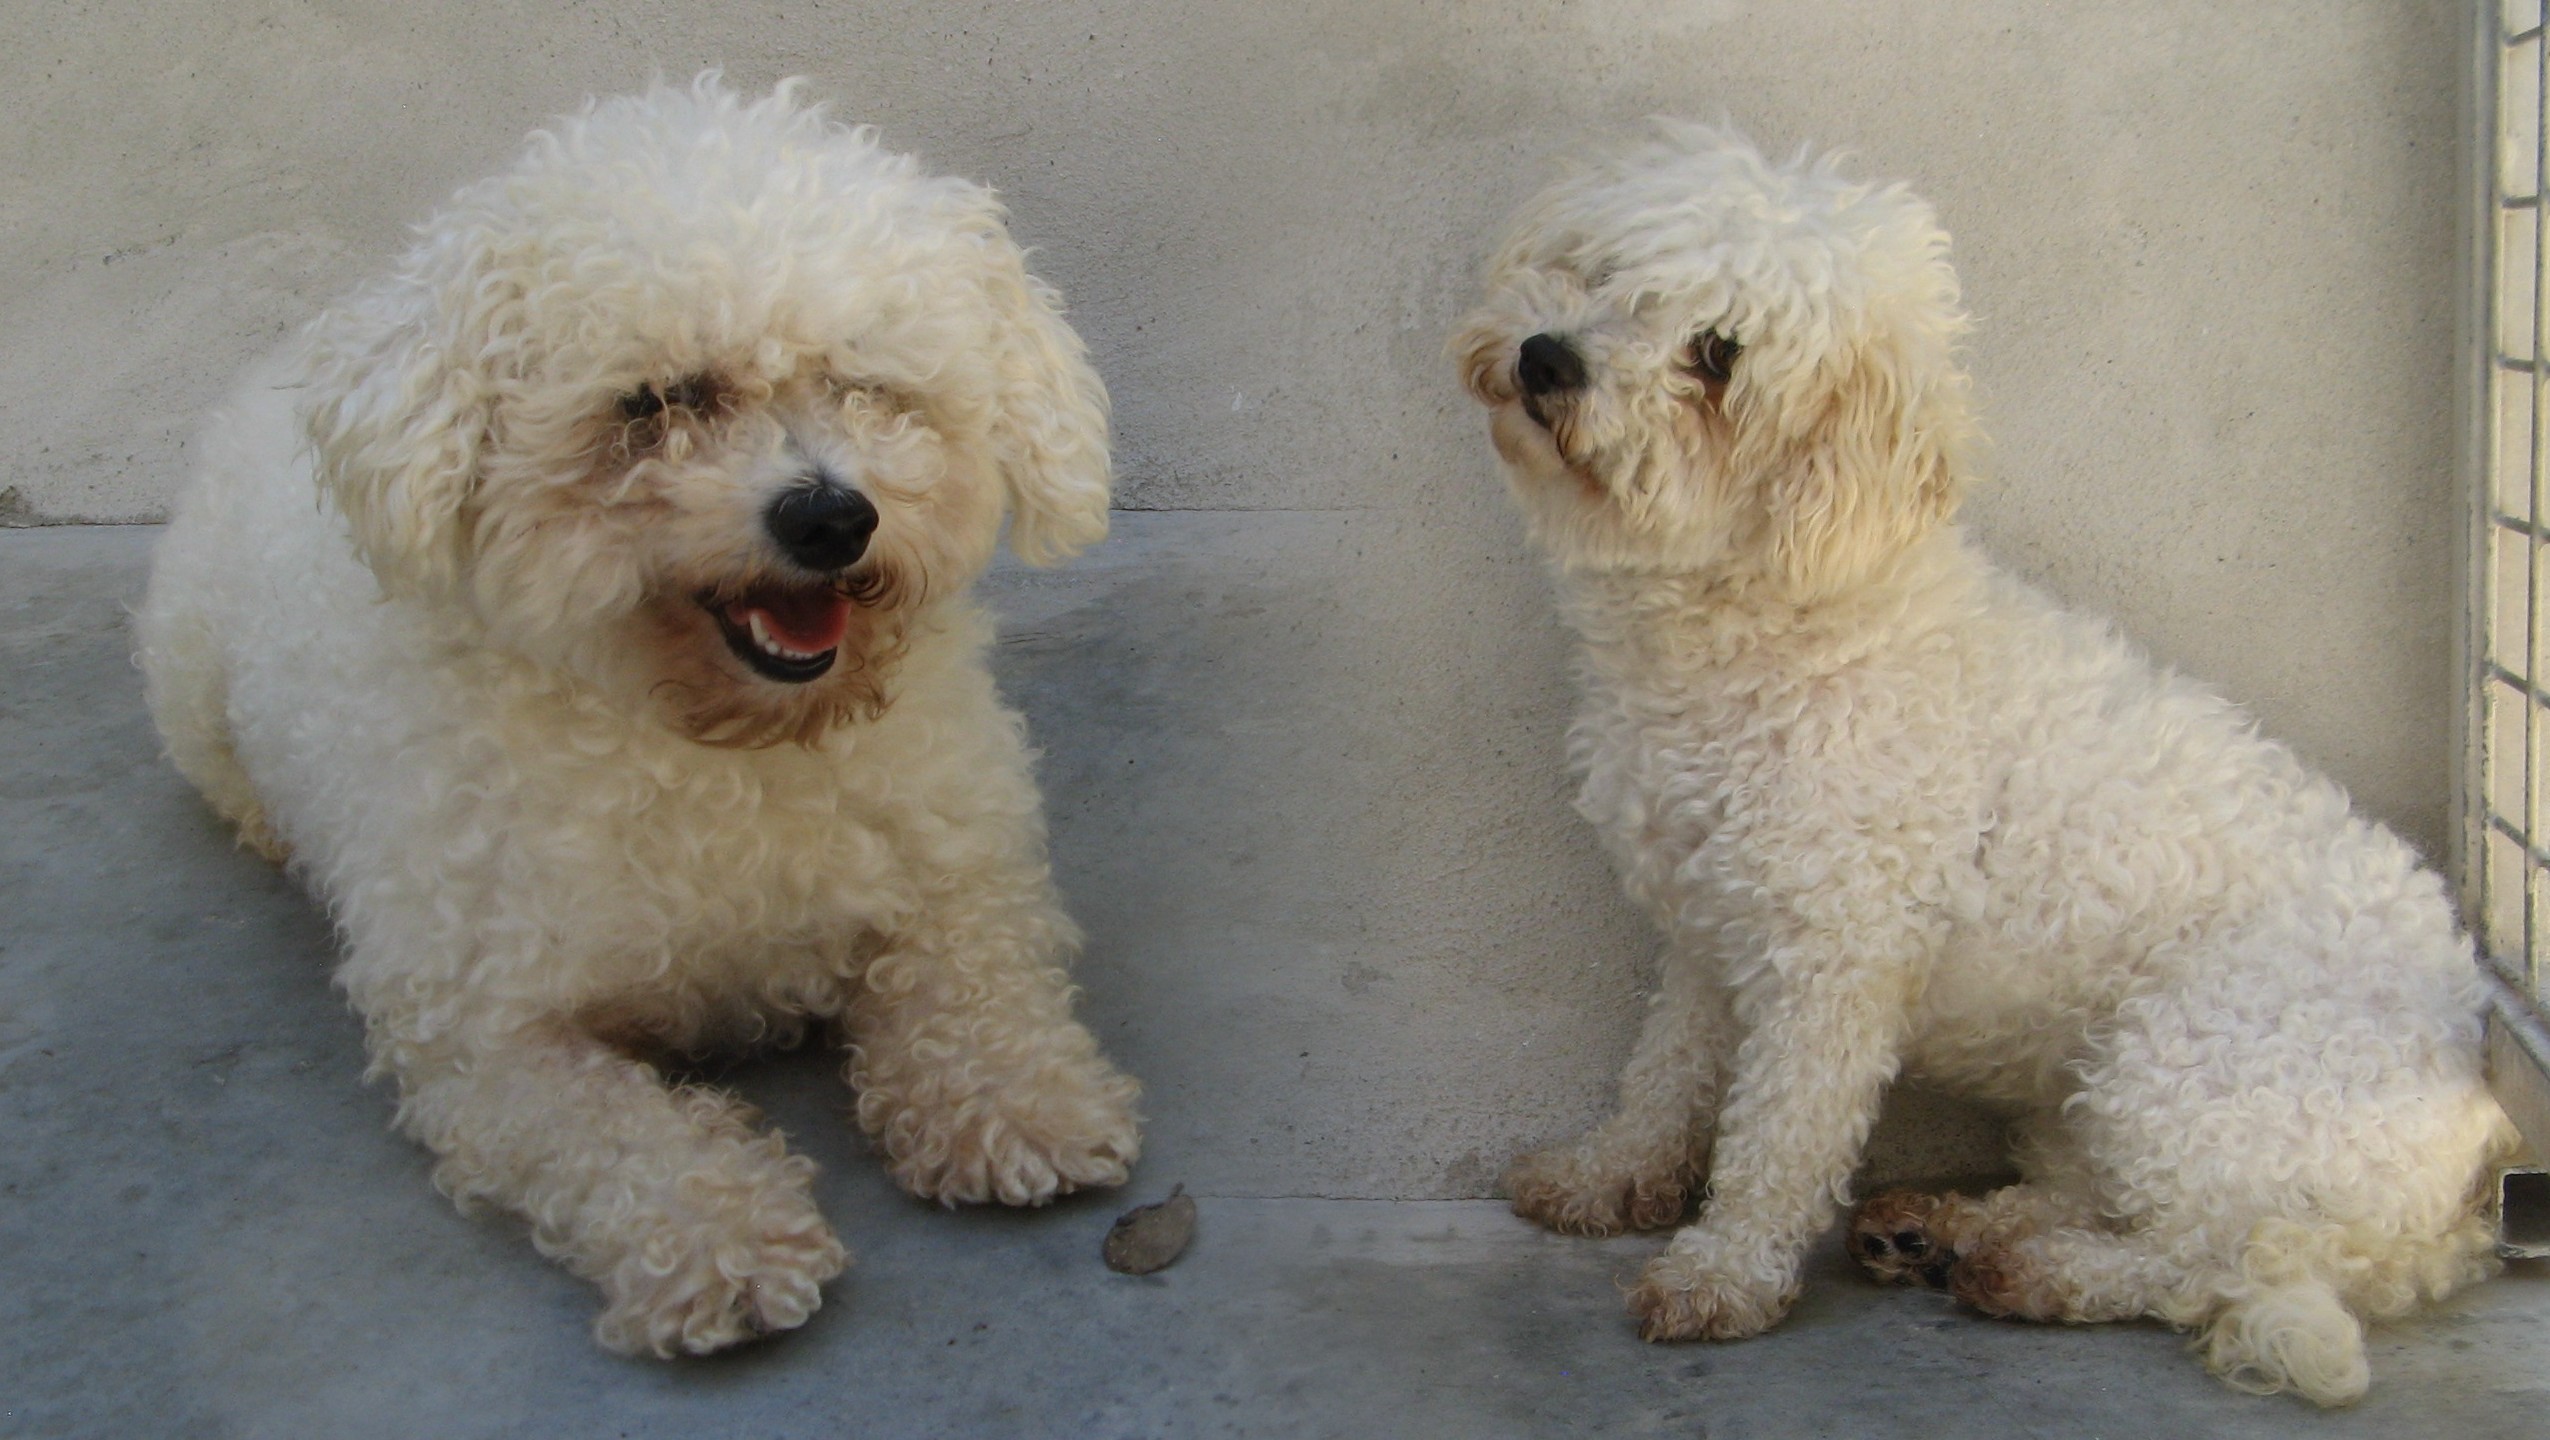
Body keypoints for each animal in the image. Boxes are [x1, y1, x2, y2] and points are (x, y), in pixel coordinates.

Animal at [135, 77, 1141, 1357]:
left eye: (863, 381)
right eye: (657, 401)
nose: (830, 517)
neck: (720, 751)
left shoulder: (960, 876)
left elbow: (975, 987)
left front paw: (1017, 1100)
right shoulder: (484, 1031)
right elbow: (615, 1136)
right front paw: (717, 1237)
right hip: (192, 684)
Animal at [1453, 122, 2513, 1405]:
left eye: (1717, 355)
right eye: (1606, 270)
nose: (1548, 357)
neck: (1792, 613)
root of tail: (2470, 1146)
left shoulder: (1835, 962)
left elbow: (1779, 1134)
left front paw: (1723, 1273)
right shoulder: (1711, 928)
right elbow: (1666, 1075)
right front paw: (1606, 1178)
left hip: (2181, 1068)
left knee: (2219, 1260)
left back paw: (2036, 1272)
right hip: (2092, 1098)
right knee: (2132, 1208)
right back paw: (1948, 1228)